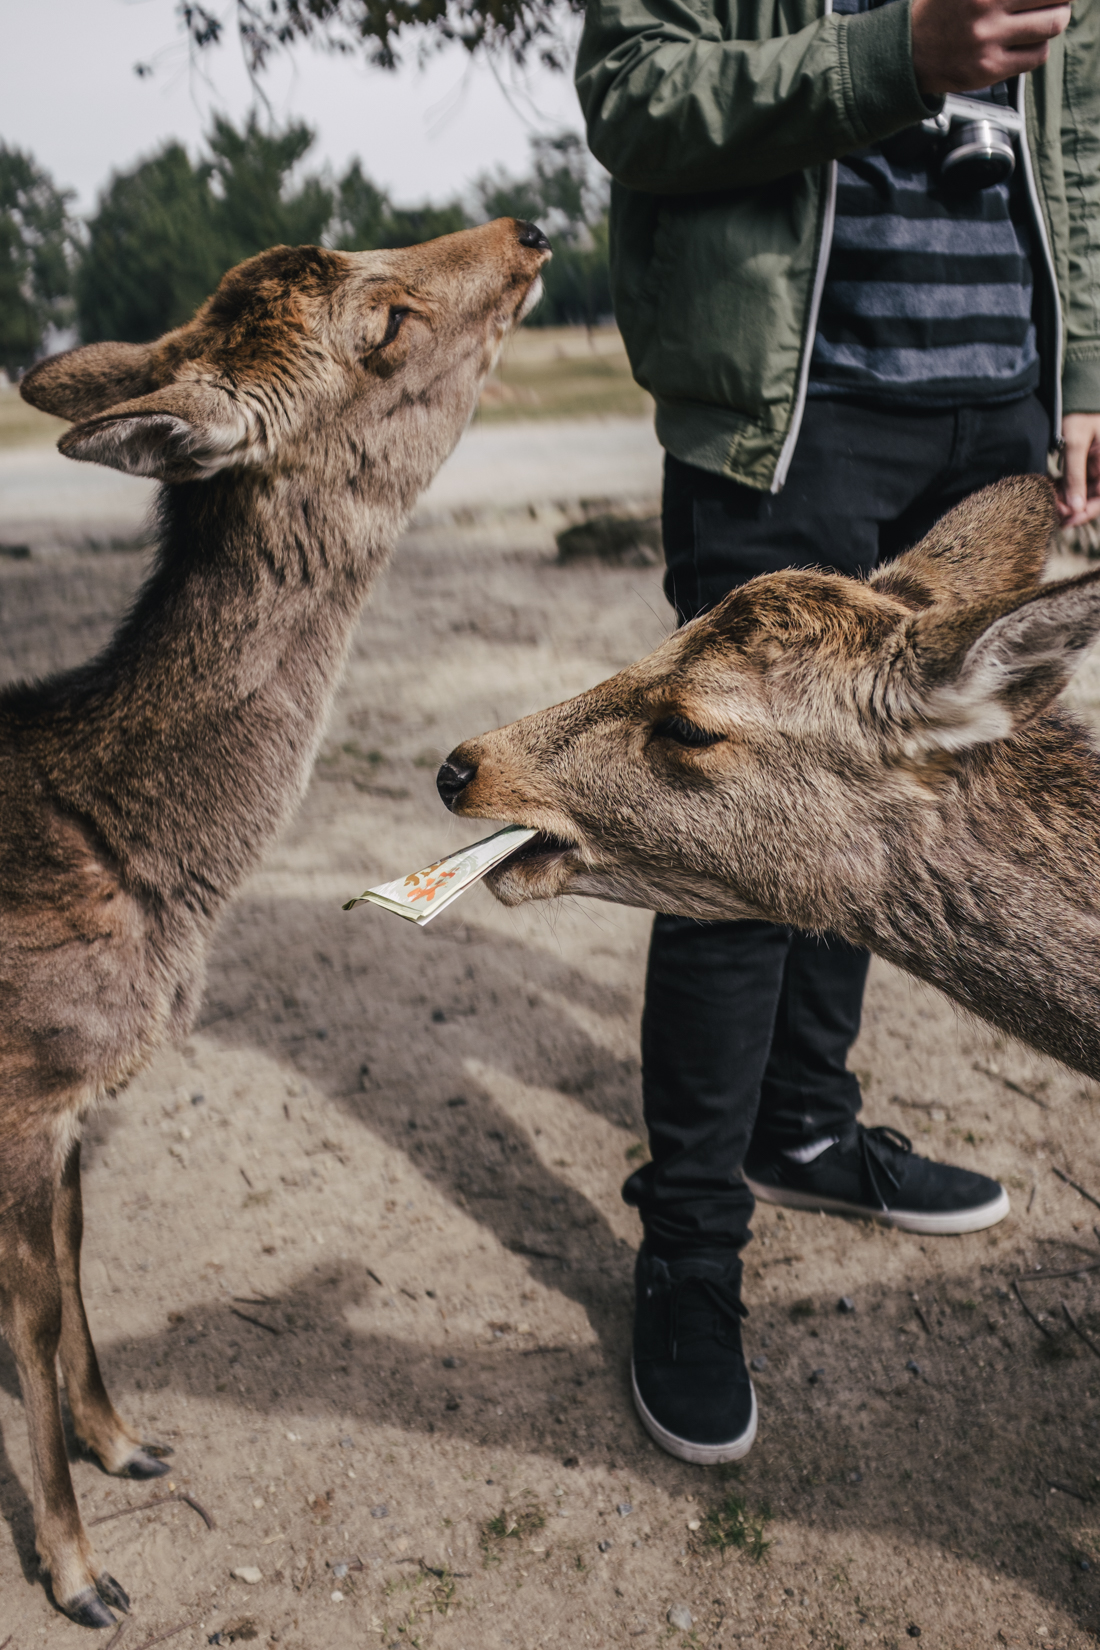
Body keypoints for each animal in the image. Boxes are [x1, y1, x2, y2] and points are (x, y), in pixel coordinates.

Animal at [0, 216, 550, 1623]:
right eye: (385, 325)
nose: (526, 227)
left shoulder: (82, 1095)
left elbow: (78, 1263)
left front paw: (131, 1443)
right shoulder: (21, 1088)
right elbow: (32, 1316)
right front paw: (83, 1578)